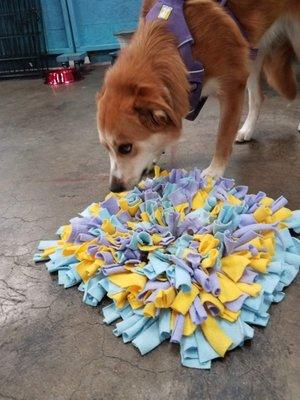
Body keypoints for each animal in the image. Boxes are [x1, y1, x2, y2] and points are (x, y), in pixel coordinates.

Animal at [97, 0, 298, 192]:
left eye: (126, 148)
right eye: (106, 147)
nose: (114, 188)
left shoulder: (233, 86)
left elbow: (223, 135)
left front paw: (214, 171)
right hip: (252, 51)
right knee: (257, 97)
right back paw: (247, 130)